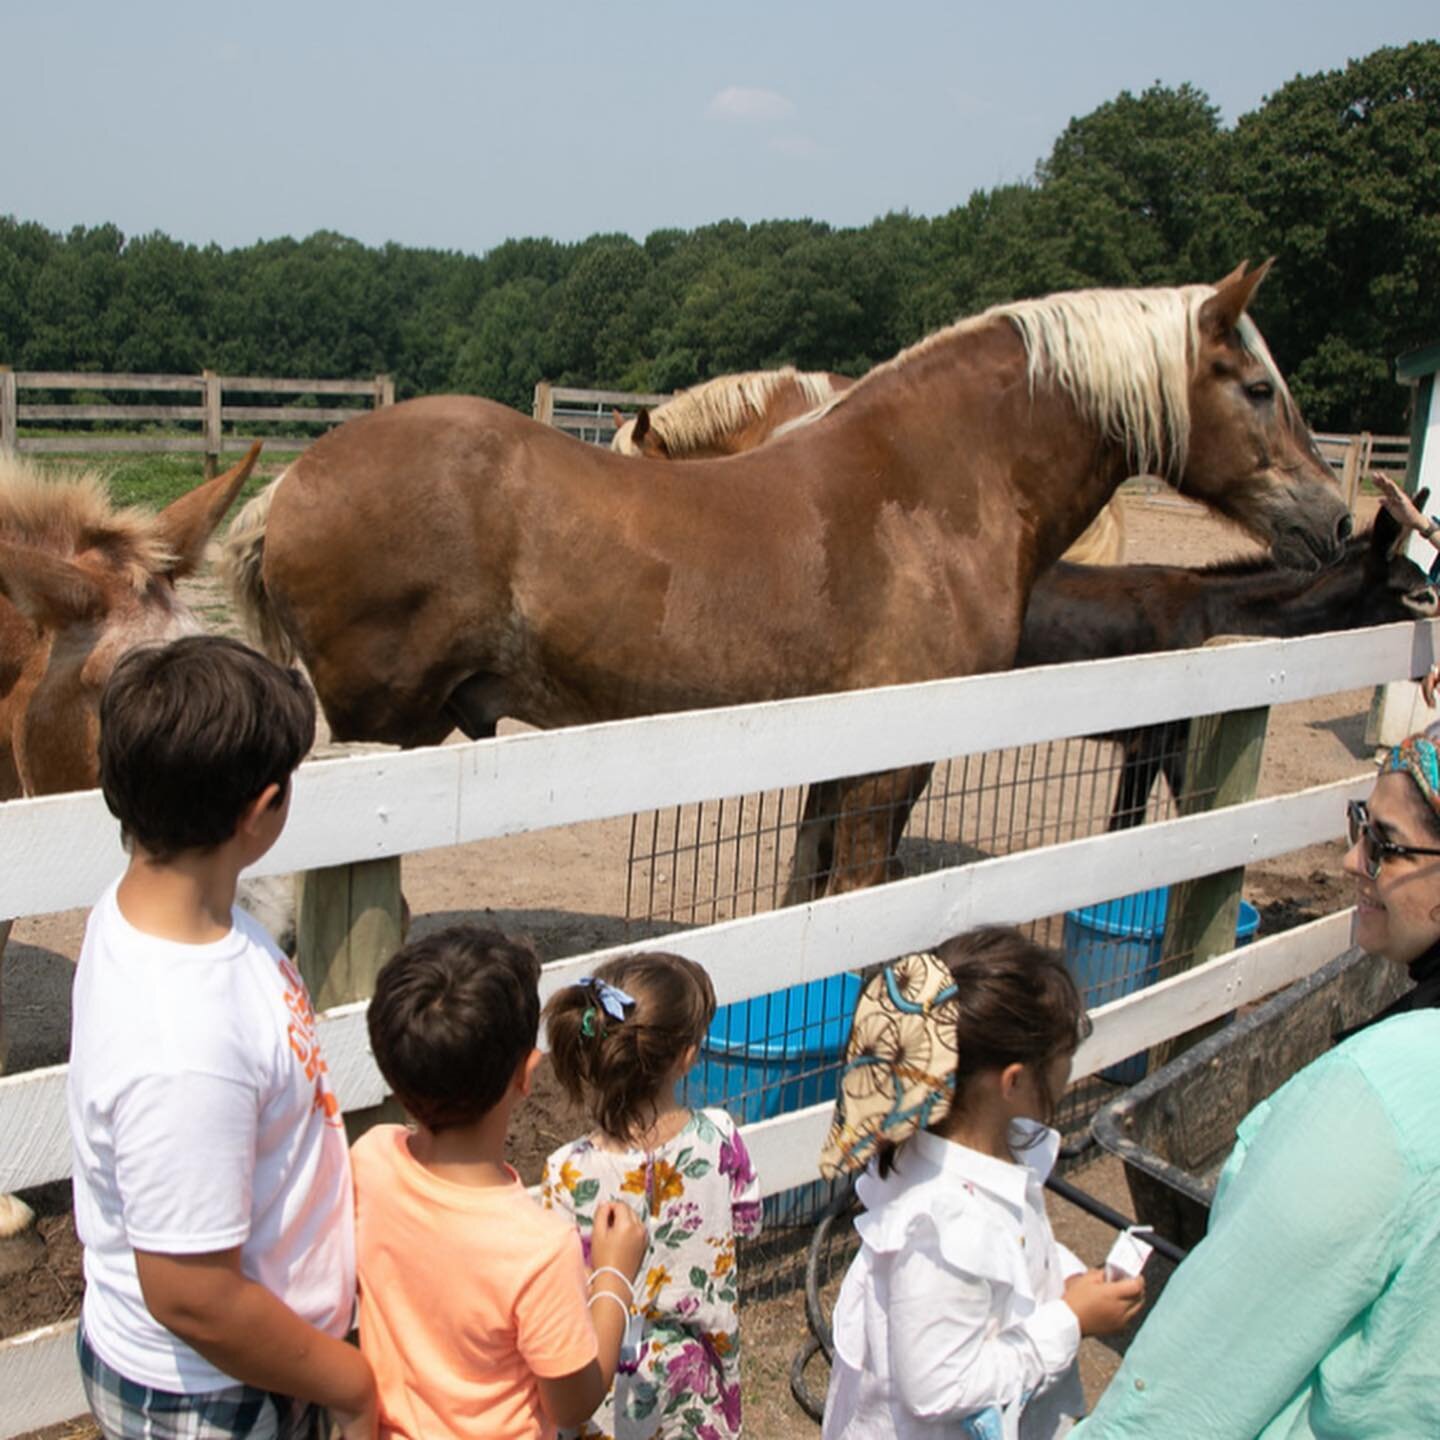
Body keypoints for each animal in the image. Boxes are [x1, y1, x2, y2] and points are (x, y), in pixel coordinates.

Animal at [224, 264, 1347, 852]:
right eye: (1257, 388)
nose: (1333, 517)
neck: (927, 488)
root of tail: (288, 485)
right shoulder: (889, 764)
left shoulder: (832, 758)